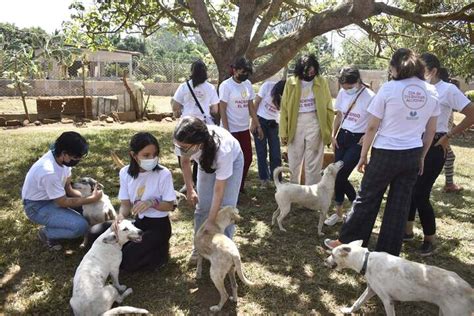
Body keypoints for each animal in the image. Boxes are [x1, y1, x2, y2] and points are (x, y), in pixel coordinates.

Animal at [324, 241, 474, 314]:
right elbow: (357, 302)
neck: (366, 260)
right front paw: (348, 311)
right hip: (443, 311)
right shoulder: (371, 290)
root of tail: (470, 290)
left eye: (332, 254)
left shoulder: (387, 300)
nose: (325, 261)